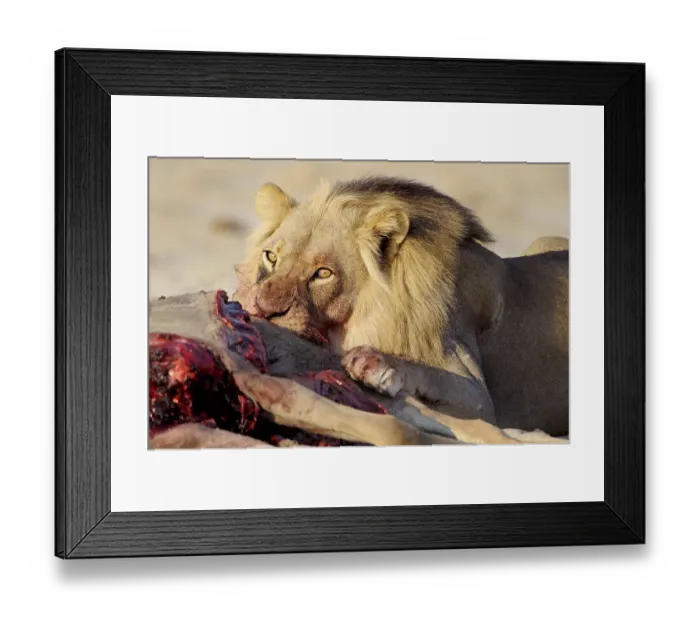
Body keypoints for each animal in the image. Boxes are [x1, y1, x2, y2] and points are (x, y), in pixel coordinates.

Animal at [233, 176, 569, 437]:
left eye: (323, 273)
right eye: (271, 257)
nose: (263, 310)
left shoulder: (481, 399)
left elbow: (433, 375)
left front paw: (374, 364)